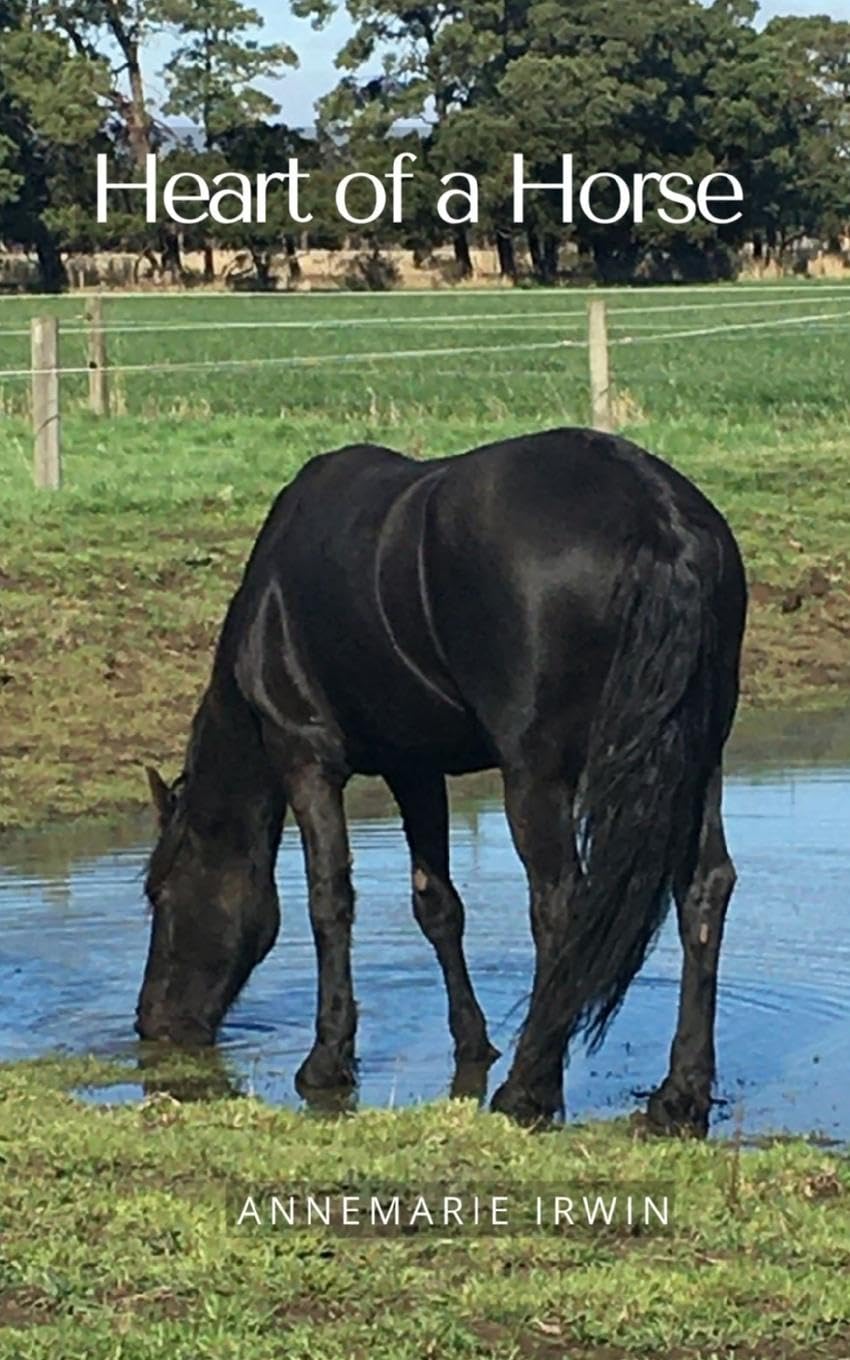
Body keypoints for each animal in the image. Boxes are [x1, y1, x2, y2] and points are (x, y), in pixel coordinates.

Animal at [137, 426, 746, 1136]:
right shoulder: (415, 767)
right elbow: (437, 905)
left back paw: (529, 1090)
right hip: (696, 756)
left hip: (538, 774)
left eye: (159, 893)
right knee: (703, 890)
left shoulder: (306, 758)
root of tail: (657, 517)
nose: (152, 1021)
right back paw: (679, 1096)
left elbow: (328, 902)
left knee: (562, 904)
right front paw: (472, 1043)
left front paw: (327, 1060)